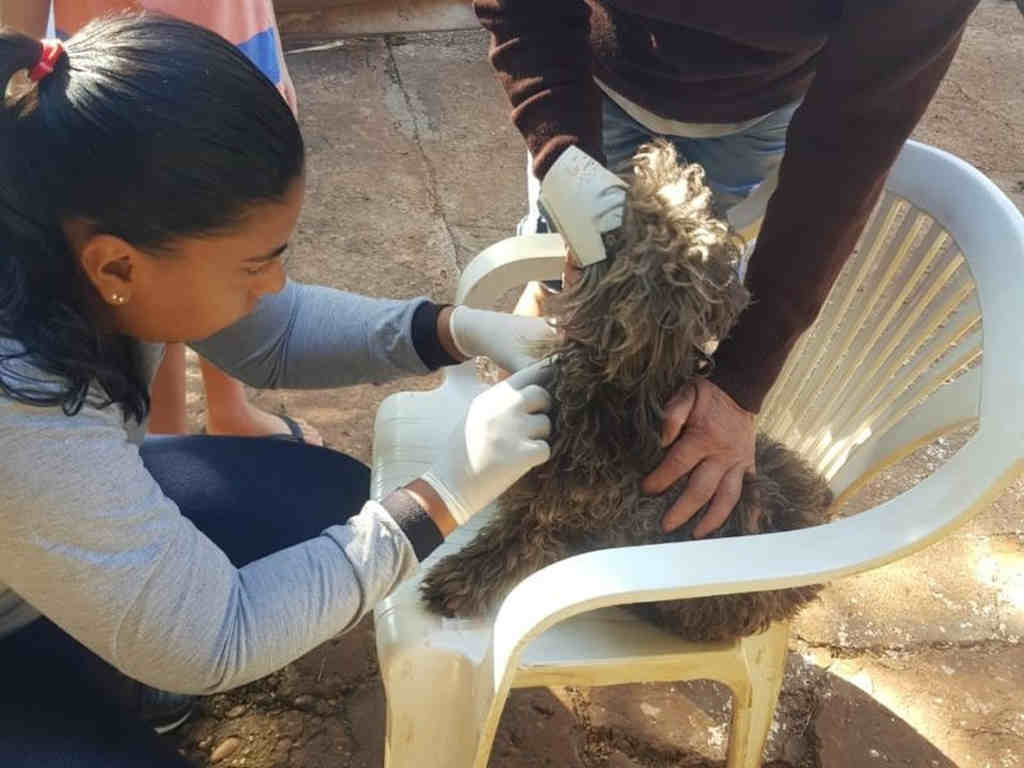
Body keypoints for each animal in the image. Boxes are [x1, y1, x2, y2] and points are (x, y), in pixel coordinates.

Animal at [421, 143, 831, 643]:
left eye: (628, 232)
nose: (649, 161)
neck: (624, 394)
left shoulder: (558, 510)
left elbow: (517, 541)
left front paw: (459, 581)